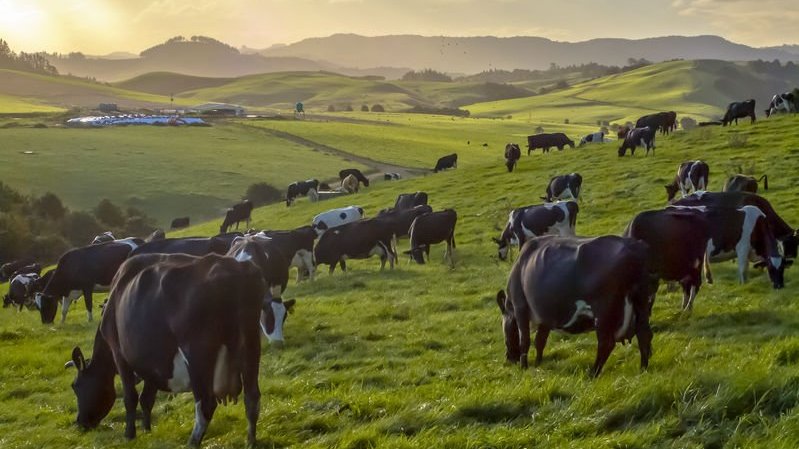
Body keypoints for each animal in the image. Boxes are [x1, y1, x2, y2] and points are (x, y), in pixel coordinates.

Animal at [66, 252, 266, 444]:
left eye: (75, 386)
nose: (80, 422)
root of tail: (235, 268)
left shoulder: (119, 354)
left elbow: (130, 397)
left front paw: (130, 434)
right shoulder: (153, 365)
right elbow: (147, 398)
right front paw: (147, 429)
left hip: (197, 354)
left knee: (206, 404)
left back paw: (192, 442)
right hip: (250, 344)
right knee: (252, 398)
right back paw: (251, 441)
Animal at [496, 234, 652, 378]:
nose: (509, 359)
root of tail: (635, 246)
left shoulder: (520, 307)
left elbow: (525, 340)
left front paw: (524, 367)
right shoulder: (546, 315)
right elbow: (540, 340)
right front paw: (538, 363)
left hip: (604, 312)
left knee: (606, 343)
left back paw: (592, 374)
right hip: (643, 304)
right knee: (644, 334)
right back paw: (642, 370)